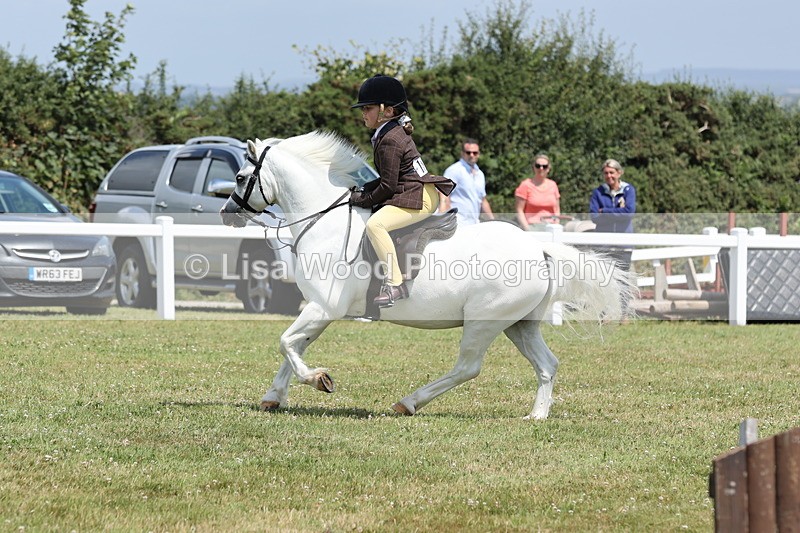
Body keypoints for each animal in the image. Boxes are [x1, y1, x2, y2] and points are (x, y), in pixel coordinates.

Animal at [220, 131, 635, 420]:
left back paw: (408, 403)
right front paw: (274, 397)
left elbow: (286, 344)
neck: (326, 222)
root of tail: (538, 250)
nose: (226, 213)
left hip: (484, 322)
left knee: (468, 367)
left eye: (240, 177)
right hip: (519, 324)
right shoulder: (318, 309)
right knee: (547, 365)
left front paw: (318, 380)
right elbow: (293, 347)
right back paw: (536, 415)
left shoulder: (324, 307)